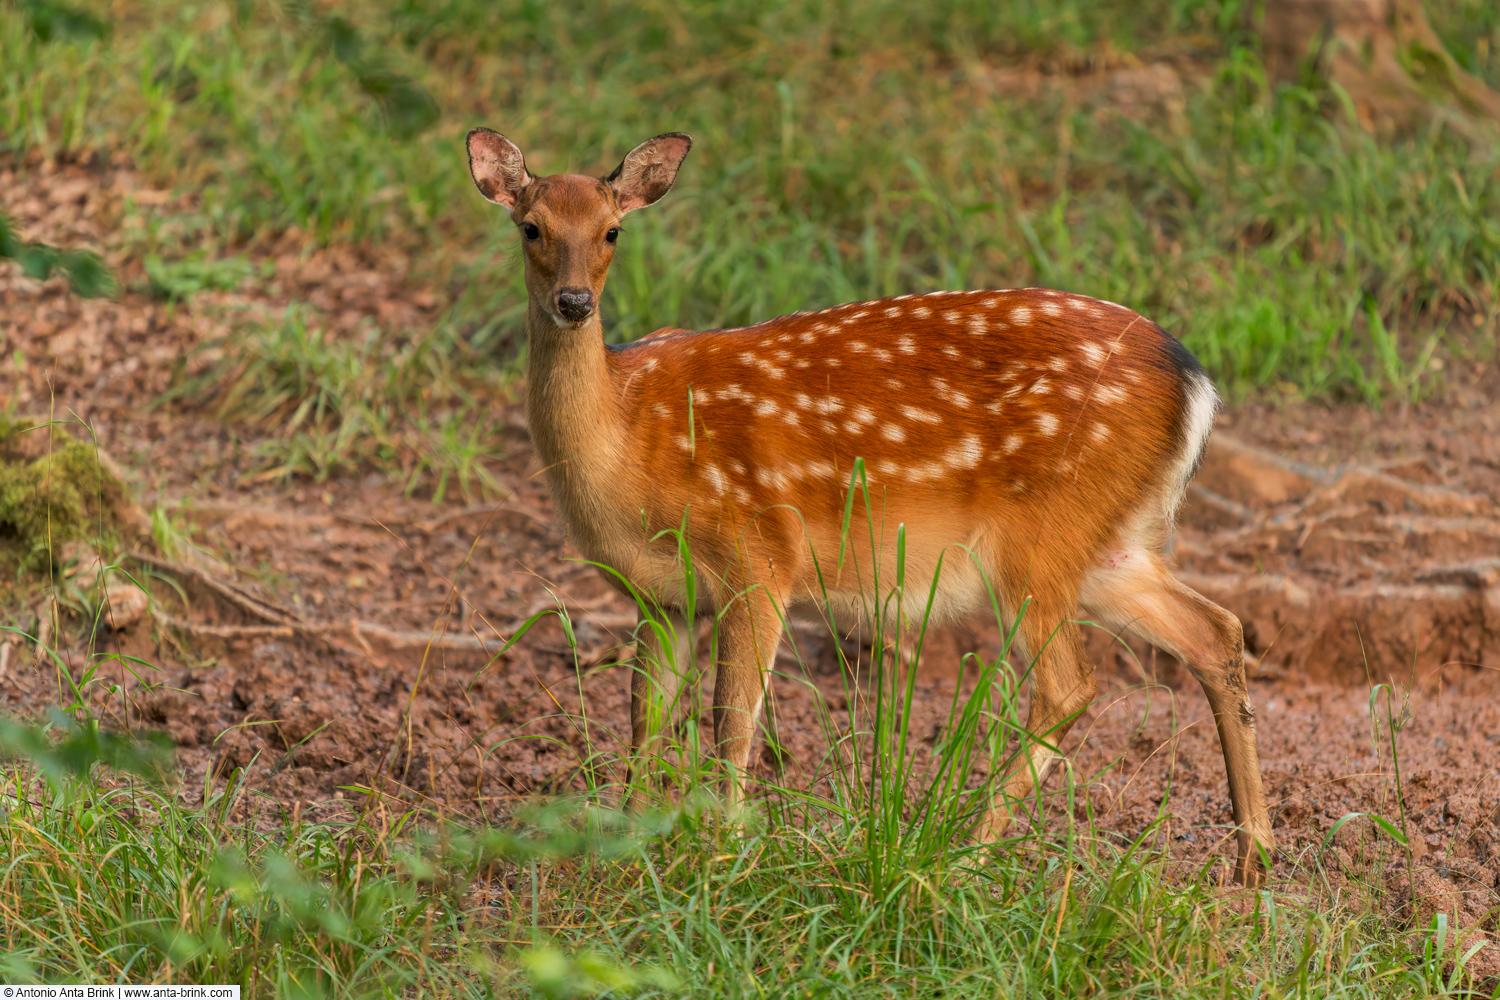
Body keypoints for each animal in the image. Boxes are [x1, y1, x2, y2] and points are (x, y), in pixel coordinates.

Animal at [471, 125, 1278, 881]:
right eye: (531, 226)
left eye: (613, 230)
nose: (574, 302)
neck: (630, 444)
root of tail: (1193, 379)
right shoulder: (660, 595)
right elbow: (646, 718)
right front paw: (625, 853)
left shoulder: (761, 552)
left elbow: (732, 717)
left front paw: (723, 852)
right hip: (1110, 545)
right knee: (1217, 632)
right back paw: (1253, 857)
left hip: (1039, 536)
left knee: (1070, 685)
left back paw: (964, 854)